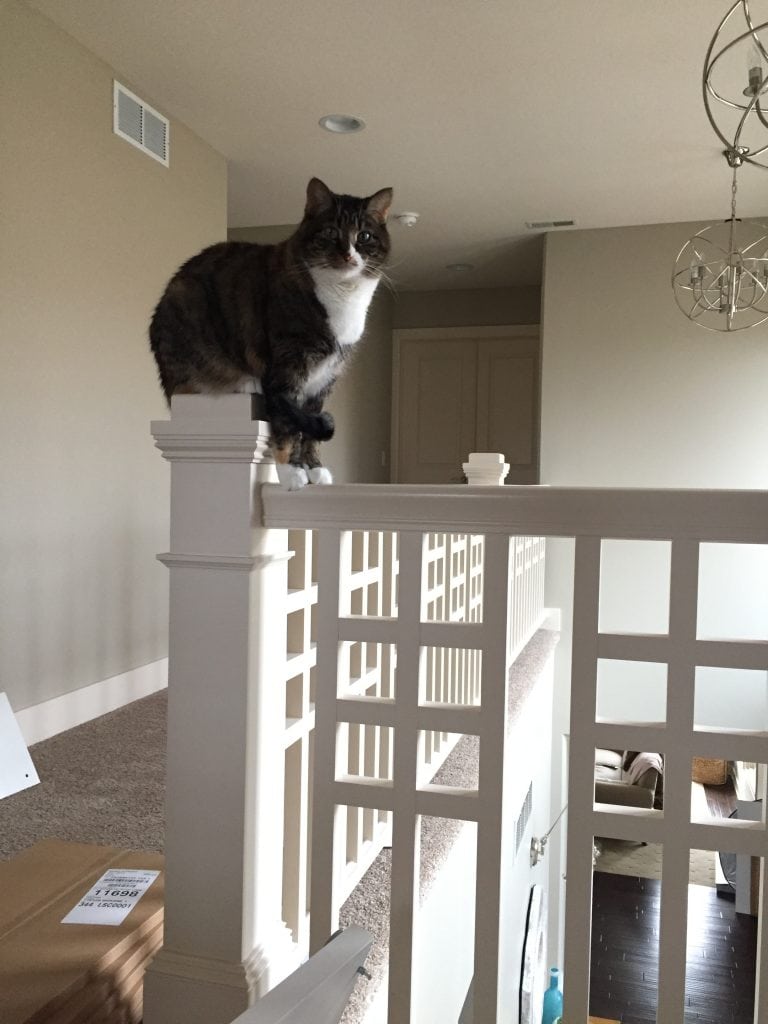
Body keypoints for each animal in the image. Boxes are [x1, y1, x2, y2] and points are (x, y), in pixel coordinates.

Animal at [149, 178, 393, 489]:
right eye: (330, 231)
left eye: (364, 235)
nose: (348, 254)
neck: (342, 297)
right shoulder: (288, 364)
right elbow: (287, 422)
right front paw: (291, 471)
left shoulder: (326, 377)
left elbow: (311, 426)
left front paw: (315, 468)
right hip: (186, 314)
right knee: (189, 384)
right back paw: (244, 383)